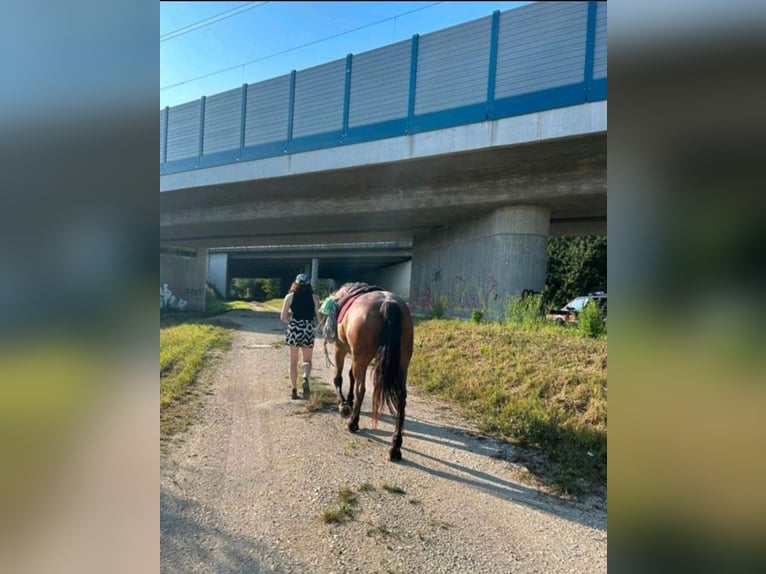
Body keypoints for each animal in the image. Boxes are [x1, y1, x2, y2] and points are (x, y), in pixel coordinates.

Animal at [330, 284, 414, 464]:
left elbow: (339, 377)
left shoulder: (341, 348)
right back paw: (395, 446)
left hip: (360, 357)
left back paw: (353, 423)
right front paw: (348, 401)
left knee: (361, 389)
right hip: (402, 363)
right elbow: (351, 376)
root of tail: (388, 303)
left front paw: (343, 404)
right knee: (401, 397)